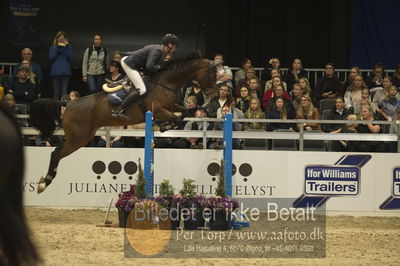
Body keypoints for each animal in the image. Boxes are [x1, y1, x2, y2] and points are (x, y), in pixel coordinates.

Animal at [29, 56, 217, 193]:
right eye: (213, 74)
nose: (212, 93)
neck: (165, 83)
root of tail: (68, 104)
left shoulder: (172, 106)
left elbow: (183, 113)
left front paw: (166, 126)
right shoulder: (158, 110)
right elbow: (176, 118)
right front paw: (165, 126)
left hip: (83, 137)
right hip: (78, 139)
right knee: (56, 153)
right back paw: (44, 183)